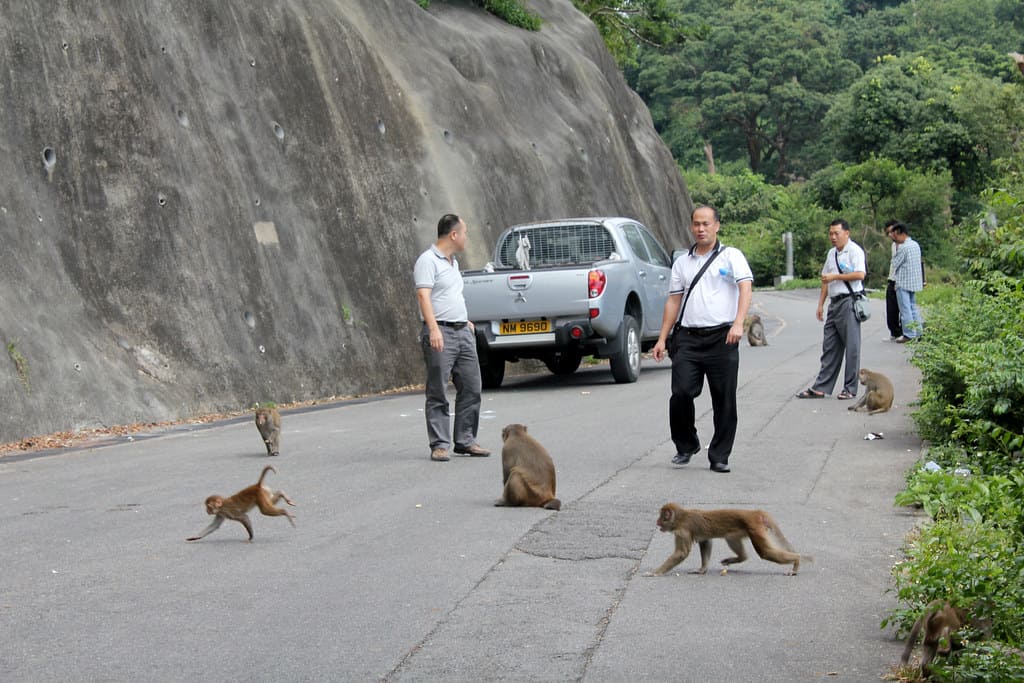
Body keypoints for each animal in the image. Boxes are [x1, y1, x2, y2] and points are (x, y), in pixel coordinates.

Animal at [643, 501, 811, 577]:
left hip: (755, 528)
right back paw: (739, 558)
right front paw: (702, 569)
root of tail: (754, 513)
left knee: (765, 552)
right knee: (731, 538)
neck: (681, 517)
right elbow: (706, 542)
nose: (657, 522)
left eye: (662, 517)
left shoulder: (682, 531)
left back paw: (796, 561)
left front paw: (655, 572)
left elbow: (681, 553)